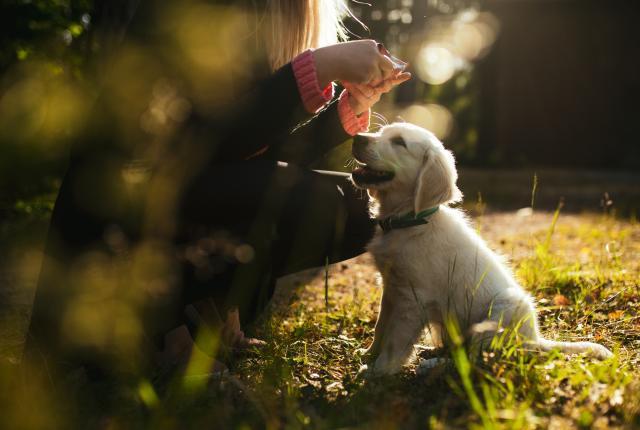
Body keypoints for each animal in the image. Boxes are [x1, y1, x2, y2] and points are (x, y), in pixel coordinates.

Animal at [352, 122, 612, 374]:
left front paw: (379, 370)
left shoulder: (412, 299)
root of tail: (533, 340)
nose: (357, 137)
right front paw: (369, 353)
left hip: (503, 310)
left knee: (476, 359)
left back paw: (431, 365)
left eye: (399, 142)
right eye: (382, 131)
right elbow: (381, 326)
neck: (410, 221)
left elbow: (396, 340)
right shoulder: (390, 287)